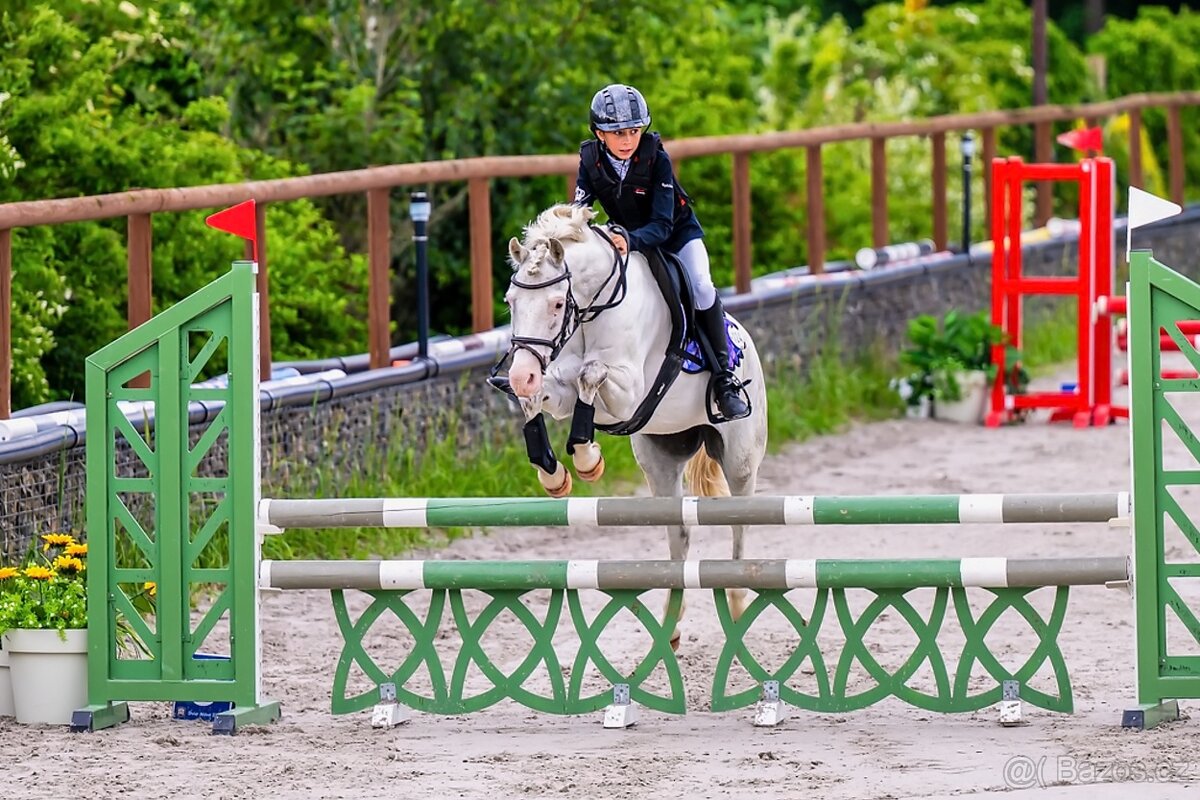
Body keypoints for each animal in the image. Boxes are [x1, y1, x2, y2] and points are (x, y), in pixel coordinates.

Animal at [496, 202, 769, 640]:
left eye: (556, 304)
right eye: (510, 301)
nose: (521, 374)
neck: (592, 308)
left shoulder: (628, 392)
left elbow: (590, 372)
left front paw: (586, 458)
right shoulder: (558, 387)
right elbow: (543, 396)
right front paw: (555, 473)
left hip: (740, 459)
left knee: (740, 525)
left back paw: (738, 607)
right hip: (661, 459)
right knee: (679, 532)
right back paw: (670, 623)